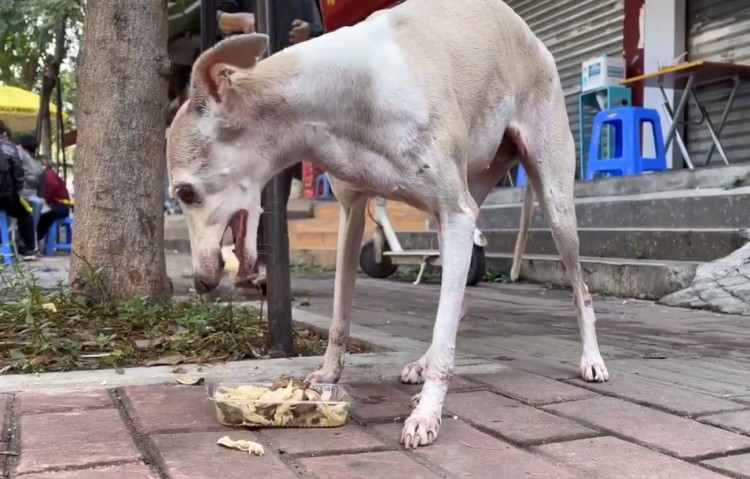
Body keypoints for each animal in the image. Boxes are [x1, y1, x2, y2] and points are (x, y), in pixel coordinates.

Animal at [166, 0, 612, 448]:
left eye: (184, 192)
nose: (202, 283)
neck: (346, 91)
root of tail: (533, 38)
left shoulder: (456, 212)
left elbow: (445, 336)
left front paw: (427, 414)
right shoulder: (353, 210)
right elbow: (341, 313)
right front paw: (329, 374)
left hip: (552, 199)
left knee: (580, 289)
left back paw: (592, 358)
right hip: (459, 204)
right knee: (457, 297)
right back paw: (422, 361)